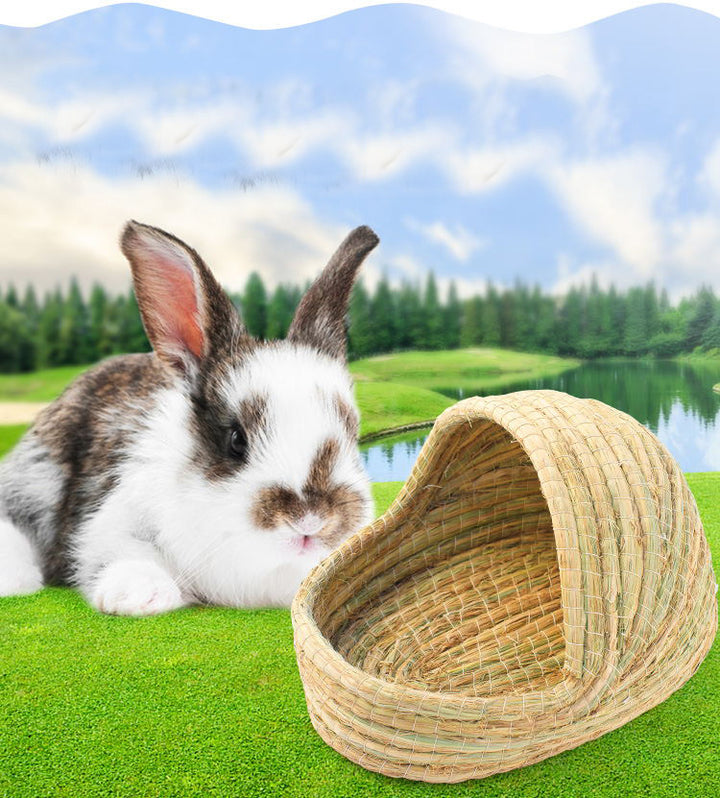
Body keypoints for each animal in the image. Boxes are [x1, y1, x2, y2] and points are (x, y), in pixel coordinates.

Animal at [0, 221, 379, 615]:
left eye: (352, 433)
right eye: (236, 440)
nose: (311, 521)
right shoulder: (111, 521)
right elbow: (117, 550)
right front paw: (139, 595)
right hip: (36, 479)